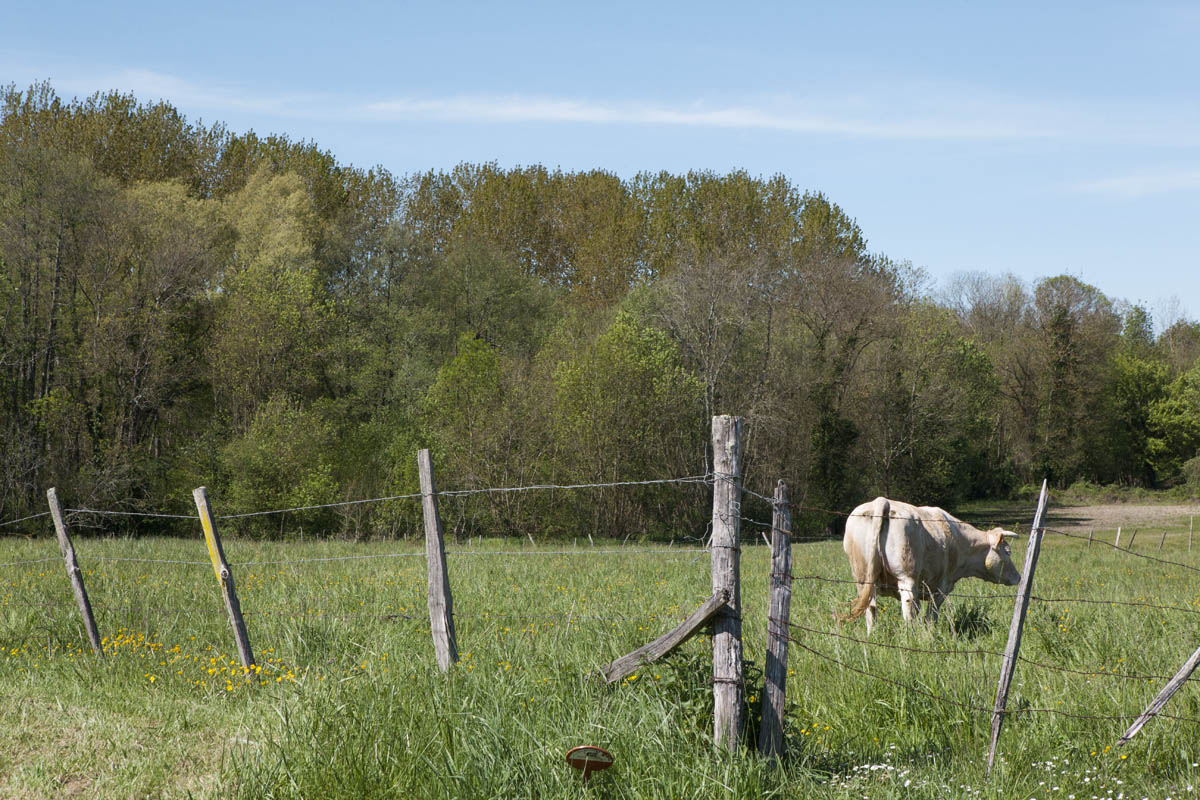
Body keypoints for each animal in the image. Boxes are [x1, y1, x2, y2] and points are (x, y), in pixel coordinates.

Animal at [840, 496, 1017, 633]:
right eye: (1008, 551)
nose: (1018, 576)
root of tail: (882, 500)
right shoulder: (942, 587)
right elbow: (931, 616)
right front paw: (929, 634)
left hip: (862, 578)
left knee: (870, 609)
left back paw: (872, 635)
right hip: (906, 577)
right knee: (908, 609)